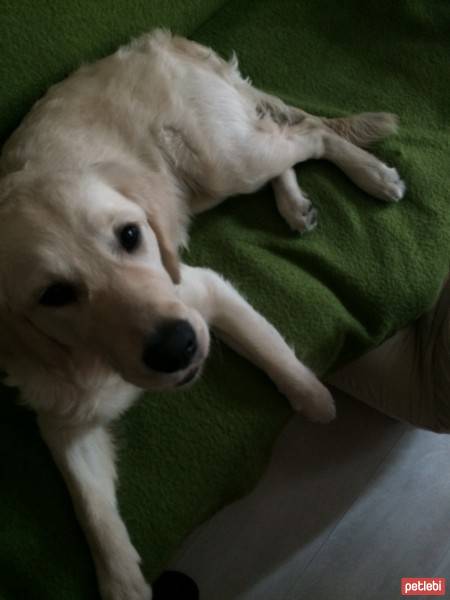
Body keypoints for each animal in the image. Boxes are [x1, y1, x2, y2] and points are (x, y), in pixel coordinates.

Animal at [0, 29, 404, 600]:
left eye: (130, 234)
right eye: (54, 294)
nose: (177, 348)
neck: (96, 356)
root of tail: (163, 39)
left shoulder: (201, 288)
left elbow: (275, 354)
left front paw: (315, 400)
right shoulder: (61, 417)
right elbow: (93, 513)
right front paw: (124, 583)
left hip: (225, 161)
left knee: (312, 132)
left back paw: (371, 174)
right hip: (206, 182)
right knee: (288, 139)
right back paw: (295, 204)